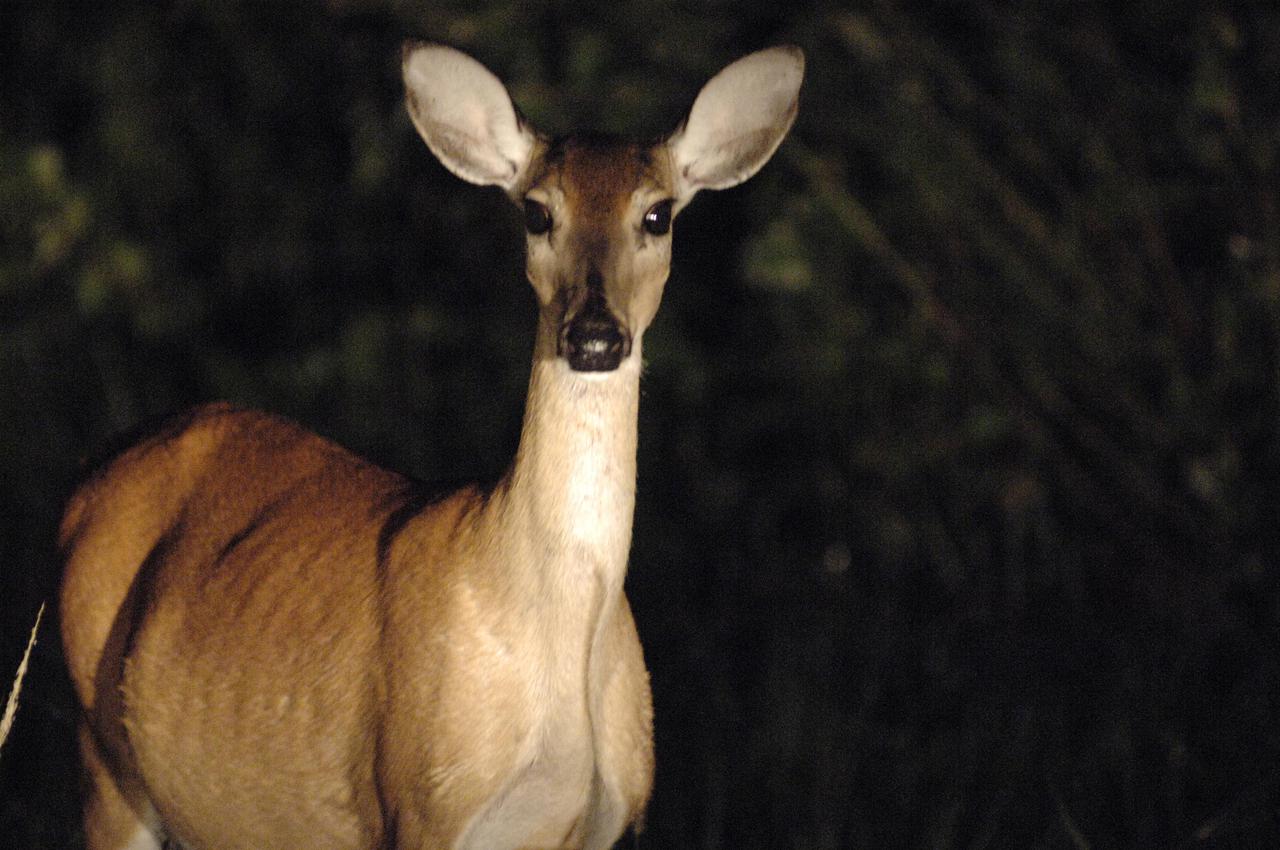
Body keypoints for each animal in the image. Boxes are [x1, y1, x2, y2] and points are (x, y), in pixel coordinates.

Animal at [59, 41, 803, 850]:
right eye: (537, 212)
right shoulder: (421, 795)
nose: (595, 337)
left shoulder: (610, 818)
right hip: (102, 755)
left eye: (659, 214)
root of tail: (91, 473)